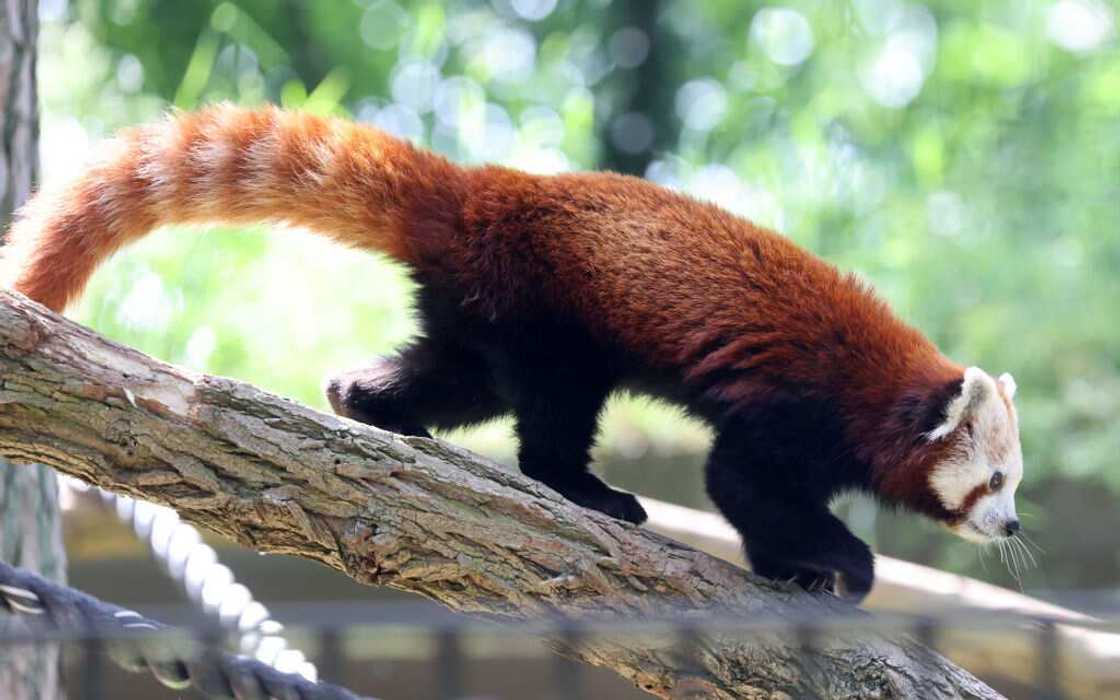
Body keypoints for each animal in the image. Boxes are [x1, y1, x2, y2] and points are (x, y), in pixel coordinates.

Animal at [0, 105, 1025, 600]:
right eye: (997, 479)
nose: (1013, 527)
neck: (884, 393)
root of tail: (483, 189)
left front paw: (802, 570)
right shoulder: (797, 403)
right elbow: (739, 481)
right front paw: (843, 565)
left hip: (482, 316)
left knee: (454, 379)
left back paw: (371, 404)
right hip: (547, 309)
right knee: (550, 419)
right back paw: (588, 492)